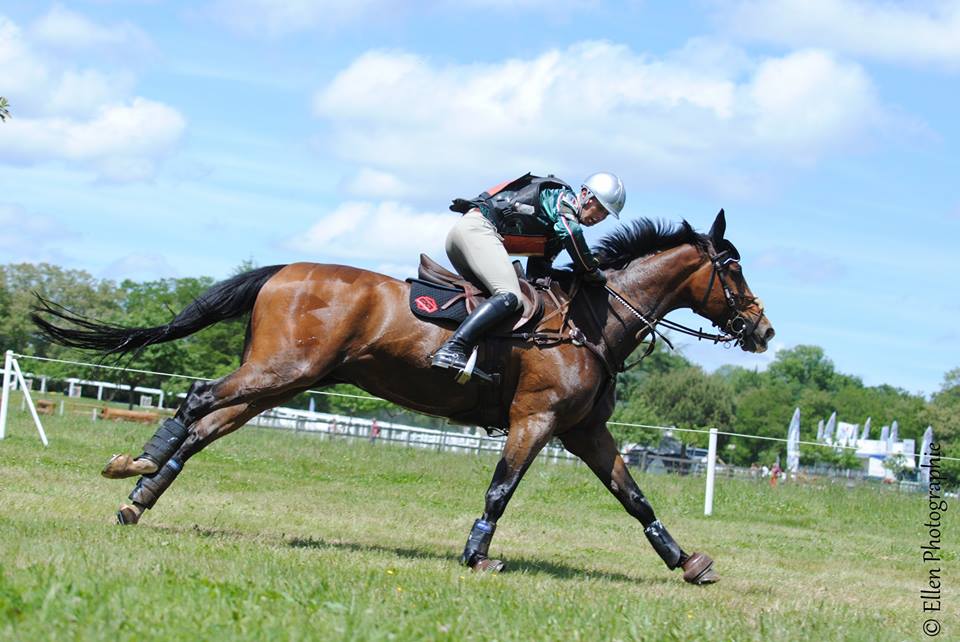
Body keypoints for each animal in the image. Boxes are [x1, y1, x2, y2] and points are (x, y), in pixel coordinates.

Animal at [33, 209, 776, 580]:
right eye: (733, 269)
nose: (764, 330)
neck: (592, 321)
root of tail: (282, 270)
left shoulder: (583, 431)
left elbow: (635, 497)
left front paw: (687, 561)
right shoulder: (535, 421)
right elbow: (501, 491)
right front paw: (477, 555)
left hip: (286, 380)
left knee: (206, 425)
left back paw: (139, 497)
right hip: (279, 371)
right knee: (195, 399)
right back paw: (135, 466)